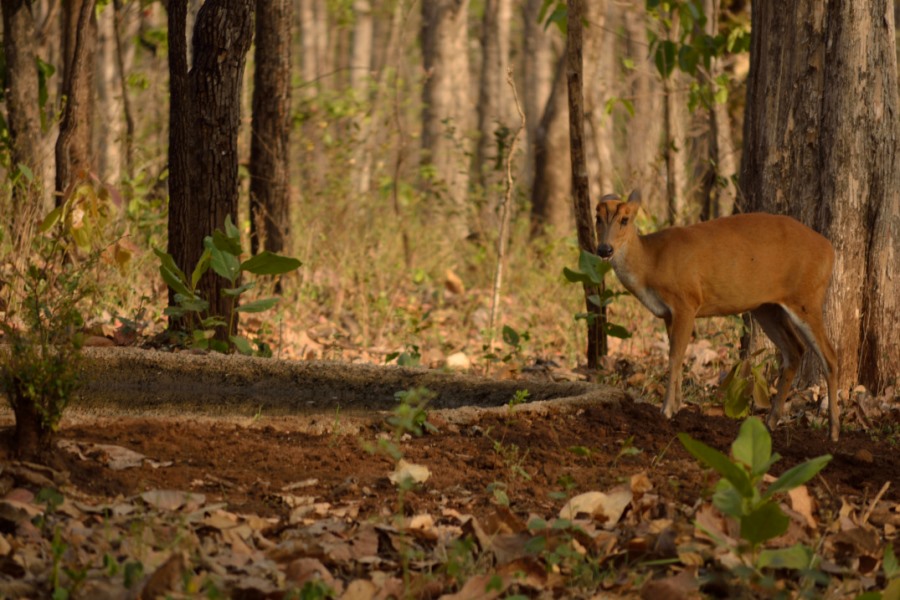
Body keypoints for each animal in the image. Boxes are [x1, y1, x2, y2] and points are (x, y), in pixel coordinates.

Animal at [595, 190, 841, 442]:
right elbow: (678, 357)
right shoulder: (667, 314)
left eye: (624, 219)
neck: (650, 263)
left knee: (830, 355)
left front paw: (666, 411)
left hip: (807, 298)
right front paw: (678, 405)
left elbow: (674, 357)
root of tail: (830, 250)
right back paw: (771, 421)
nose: (604, 249)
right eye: (598, 218)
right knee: (795, 350)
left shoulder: (687, 301)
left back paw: (833, 431)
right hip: (767, 307)